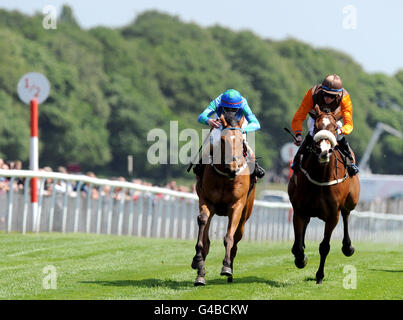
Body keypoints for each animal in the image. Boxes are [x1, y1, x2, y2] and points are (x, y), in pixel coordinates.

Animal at [192, 108, 256, 284]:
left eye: (241, 140)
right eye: (222, 140)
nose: (232, 168)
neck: (225, 177)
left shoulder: (236, 206)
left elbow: (229, 237)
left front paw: (226, 266)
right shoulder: (206, 200)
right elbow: (202, 223)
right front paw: (198, 261)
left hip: (246, 213)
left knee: (237, 238)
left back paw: (231, 272)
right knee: (207, 239)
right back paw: (200, 273)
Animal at [288, 106, 362, 284]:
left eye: (335, 128)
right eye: (316, 127)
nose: (323, 151)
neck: (320, 176)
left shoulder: (332, 215)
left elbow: (325, 246)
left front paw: (320, 275)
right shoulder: (299, 210)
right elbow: (298, 246)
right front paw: (301, 259)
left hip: (351, 201)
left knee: (346, 215)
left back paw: (348, 247)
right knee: (305, 226)